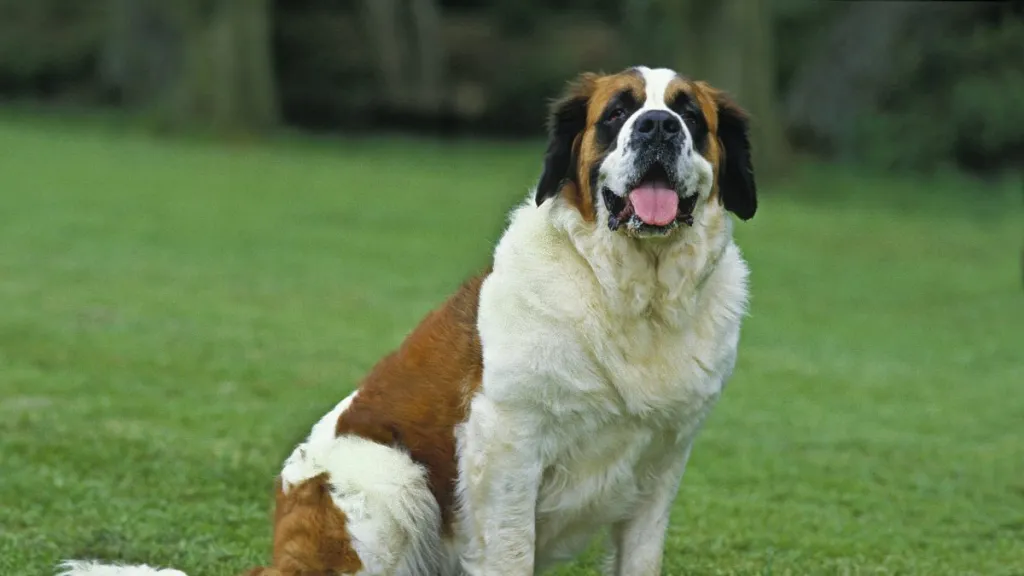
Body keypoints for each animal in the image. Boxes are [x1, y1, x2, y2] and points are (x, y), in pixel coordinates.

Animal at [59, 63, 757, 573]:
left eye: (689, 115)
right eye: (617, 112)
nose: (658, 127)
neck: (632, 296)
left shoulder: (663, 463)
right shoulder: (505, 445)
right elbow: (509, 552)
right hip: (395, 483)